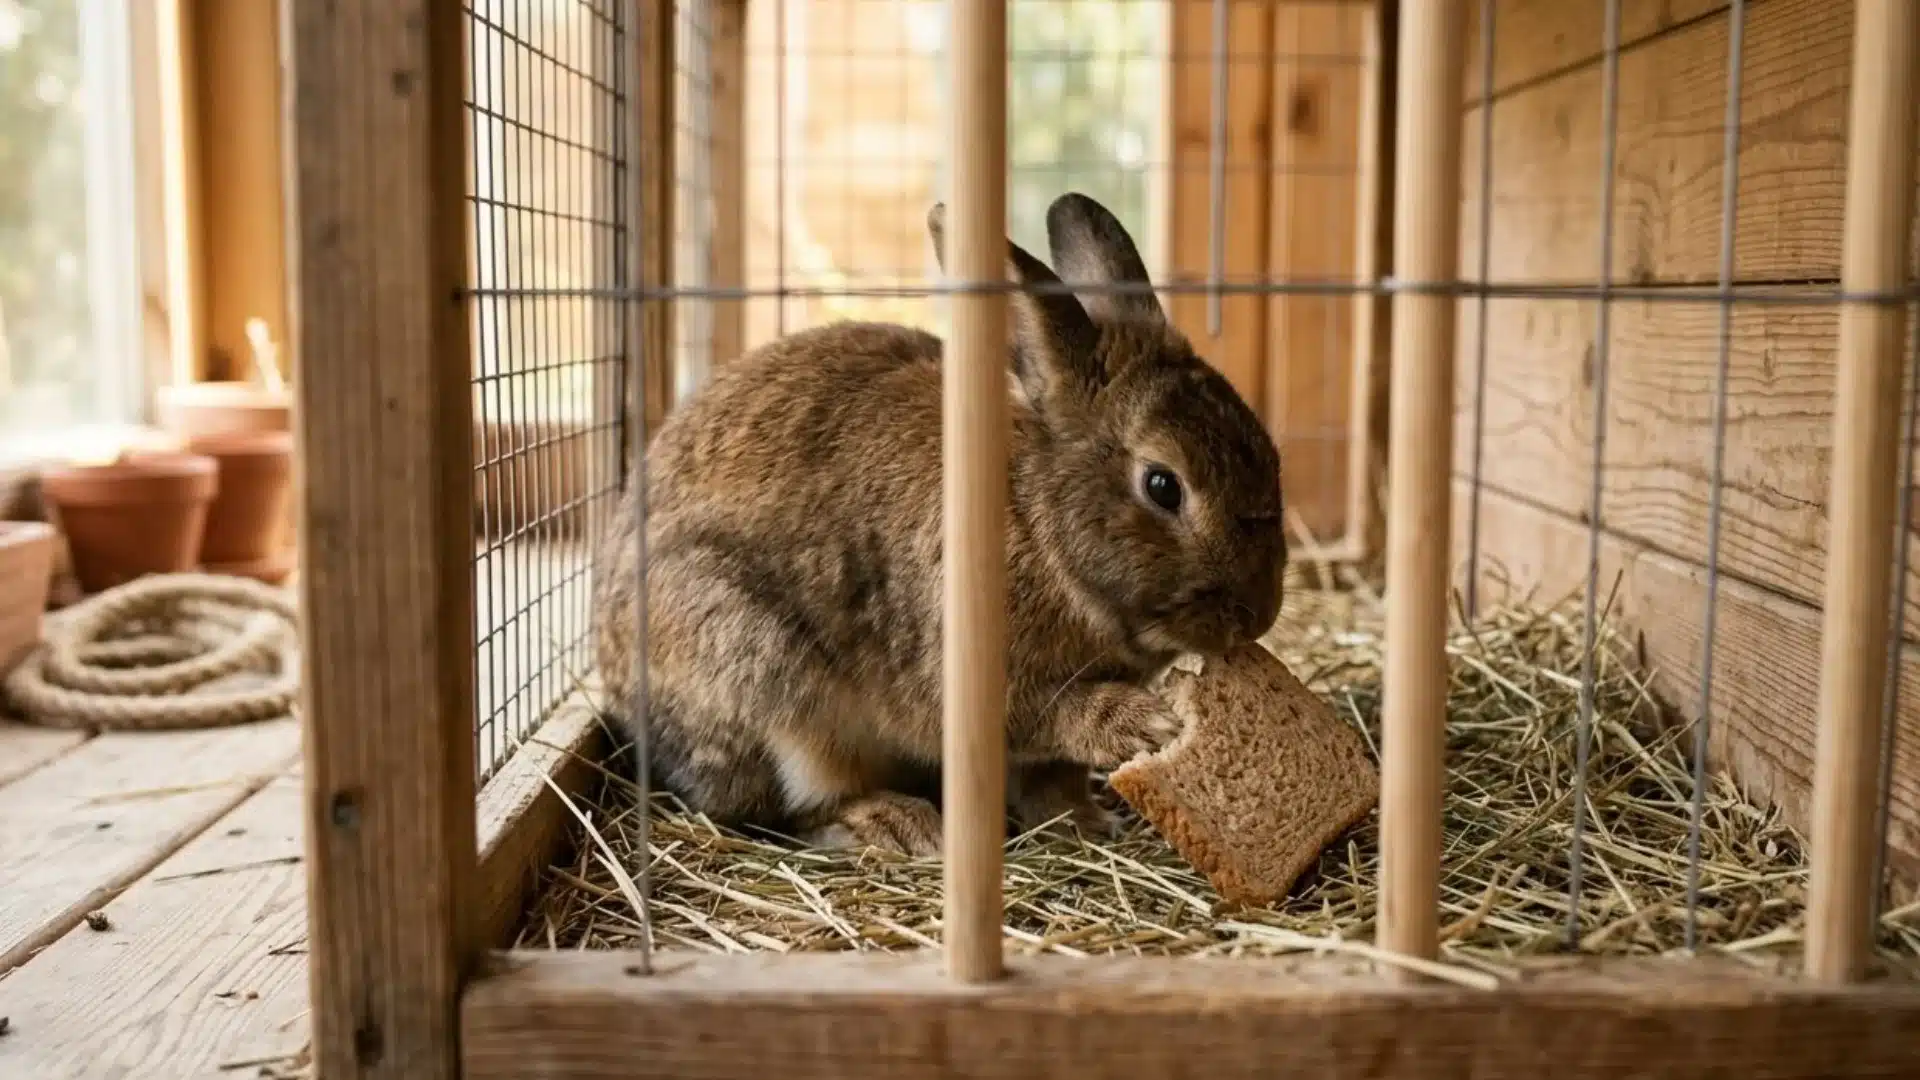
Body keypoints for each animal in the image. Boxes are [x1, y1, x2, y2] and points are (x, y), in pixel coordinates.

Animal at [590, 191, 1287, 856]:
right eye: (1163, 486)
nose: (1256, 616)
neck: (1037, 520)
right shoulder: (979, 682)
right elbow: (1055, 716)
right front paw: (1146, 724)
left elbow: (1052, 781)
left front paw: (1088, 823)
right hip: (761, 681)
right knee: (785, 808)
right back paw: (895, 824)